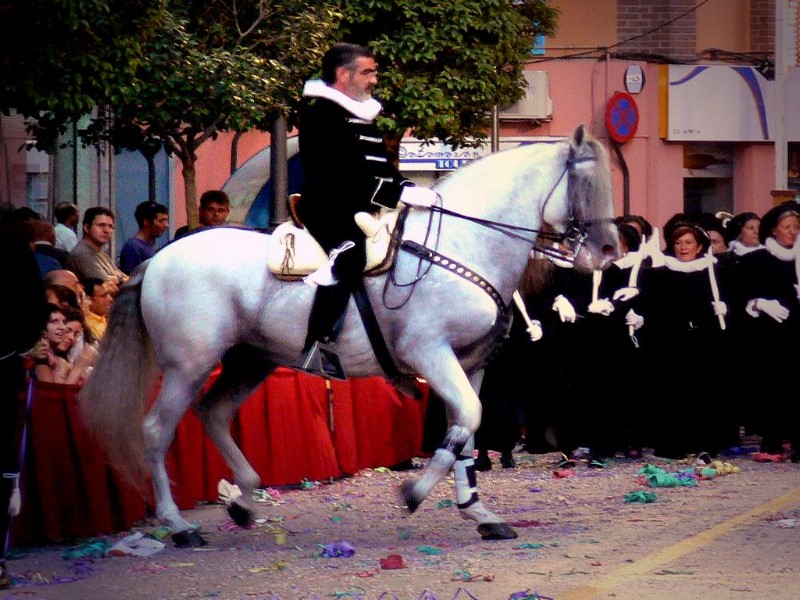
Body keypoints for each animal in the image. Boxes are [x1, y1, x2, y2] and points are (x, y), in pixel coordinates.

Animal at [80, 123, 620, 547]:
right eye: (586, 183)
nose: (609, 251)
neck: (464, 243)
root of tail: (159, 258)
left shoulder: (471, 363)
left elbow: (467, 428)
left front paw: (481, 514)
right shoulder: (430, 353)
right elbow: (467, 418)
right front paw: (414, 493)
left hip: (250, 359)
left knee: (213, 413)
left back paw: (244, 500)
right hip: (188, 365)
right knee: (157, 430)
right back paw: (178, 525)